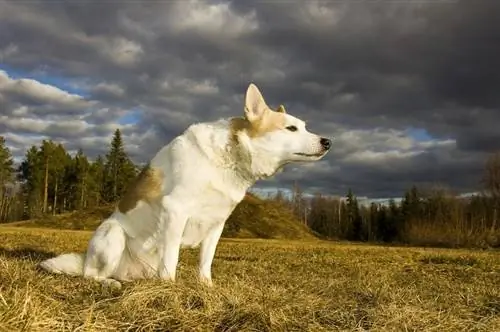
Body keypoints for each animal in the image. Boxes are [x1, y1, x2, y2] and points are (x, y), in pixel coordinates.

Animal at [37, 82, 330, 288]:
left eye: (305, 126)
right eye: (291, 128)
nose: (327, 141)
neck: (228, 160)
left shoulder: (216, 223)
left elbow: (205, 262)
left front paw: (207, 288)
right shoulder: (175, 211)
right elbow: (172, 260)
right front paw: (171, 289)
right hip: (112, 235)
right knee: (91, 275)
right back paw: (110, 283)